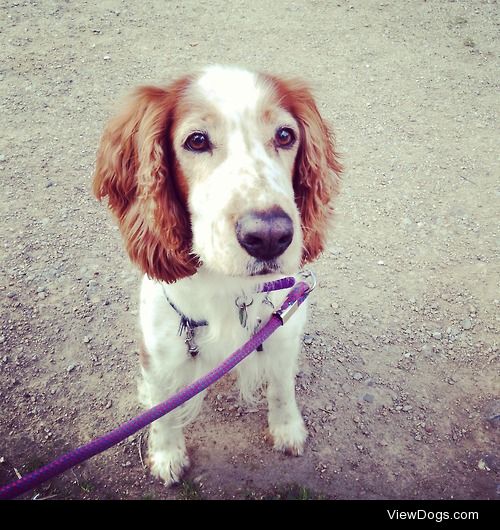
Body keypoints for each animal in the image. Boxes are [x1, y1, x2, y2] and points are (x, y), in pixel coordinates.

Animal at [92, 64, 342, 484]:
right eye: (196, 140)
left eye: (285, 135)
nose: (269, 236)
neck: (228, 288)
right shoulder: (159, 353)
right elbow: (164, 410)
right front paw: (167, 454)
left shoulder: (284, 331)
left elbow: (282, 388)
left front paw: (287, 428)